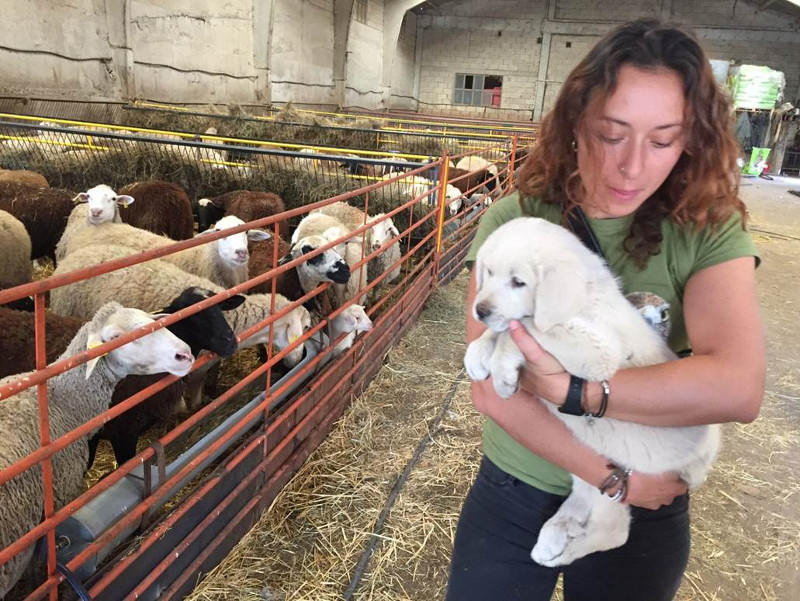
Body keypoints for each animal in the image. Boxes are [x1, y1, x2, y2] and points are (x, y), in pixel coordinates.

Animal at [462, 218, 720, 564]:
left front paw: (501, 368)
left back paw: (564, 551)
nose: (481, 310)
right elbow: (505, 329)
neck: (584, 300)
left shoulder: (599, 351)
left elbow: (525, 328)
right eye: (487, 272)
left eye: (518, 282)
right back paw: (557, 532)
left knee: (615, 532)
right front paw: (477, 353)